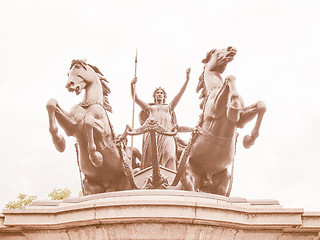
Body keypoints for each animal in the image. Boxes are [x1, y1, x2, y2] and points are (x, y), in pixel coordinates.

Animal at [46, 59, 135, 195]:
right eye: (68, 73)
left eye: (78, 67)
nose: (69, 85)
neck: (88, 104)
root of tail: (109, 185)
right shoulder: (72, 127)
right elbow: (51, 103)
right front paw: (59, 142)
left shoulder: (103, 132)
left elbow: (88, 122)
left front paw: (96, 158)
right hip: (90, 186)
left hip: (126, 184)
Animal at [179, 46, 266, 195]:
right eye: (213, 51)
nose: (232, 48)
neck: (215, 88)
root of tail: (206, 177)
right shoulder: (215, 109)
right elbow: (230, 77)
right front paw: (233, 107)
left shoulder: (241, 120)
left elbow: (261, 105)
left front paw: (248, 140)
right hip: (190, 177)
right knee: (191, 190)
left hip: (222, 183)